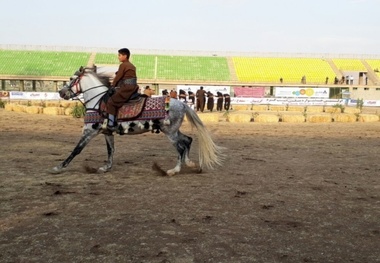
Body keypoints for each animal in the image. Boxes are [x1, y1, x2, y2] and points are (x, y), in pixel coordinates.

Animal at [50, 67, 223, 176]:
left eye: (71, 79)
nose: (61, 92)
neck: (98, 101)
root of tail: (182, 104)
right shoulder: (107, 132)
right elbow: (111, 150)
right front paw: (106, 167)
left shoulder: (89, 131)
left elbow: (76, 150)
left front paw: (58, 167)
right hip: (173, 130)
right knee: (188, 140)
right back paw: (191, 164)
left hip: (170, 132)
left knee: (180, 148)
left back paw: (173, 171)